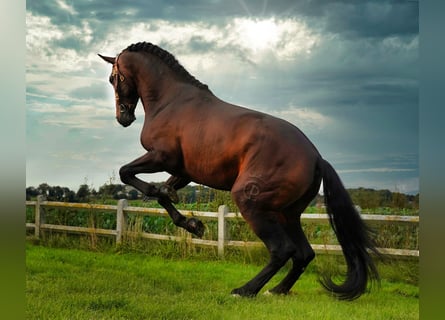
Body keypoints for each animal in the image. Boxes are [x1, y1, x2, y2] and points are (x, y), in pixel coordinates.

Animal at [98, 42, 378, 300]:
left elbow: (128, 174)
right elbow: (164, 194)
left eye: (113, 78)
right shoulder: (183, 172)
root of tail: (316, 157)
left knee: (282, 250)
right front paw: (193, 224)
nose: (123, 118)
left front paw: (187, 218)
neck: (171, 100)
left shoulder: (161, 157)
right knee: (304, 253)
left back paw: (246, 290)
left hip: (251, 203)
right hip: (287, 214)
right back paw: (277, 290)